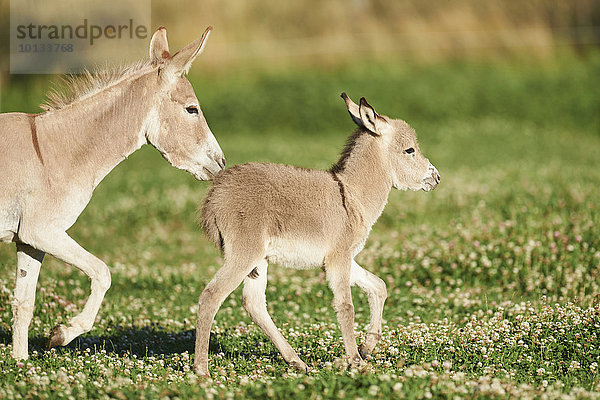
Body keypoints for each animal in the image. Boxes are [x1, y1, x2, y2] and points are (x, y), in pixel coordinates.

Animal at [196, 93, 440, 376]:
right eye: (409, 150)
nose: (436, 177)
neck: (352, 194)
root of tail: (214, 197)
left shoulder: (341, 258)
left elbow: (378, 286)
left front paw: (366, 348)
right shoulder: (338, 258)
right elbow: (346, 307)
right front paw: (355, 360)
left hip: (258, 260)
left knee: (254, 303)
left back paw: (296, 361)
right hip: (244, 253)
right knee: (211, 296)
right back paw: (201, 370)